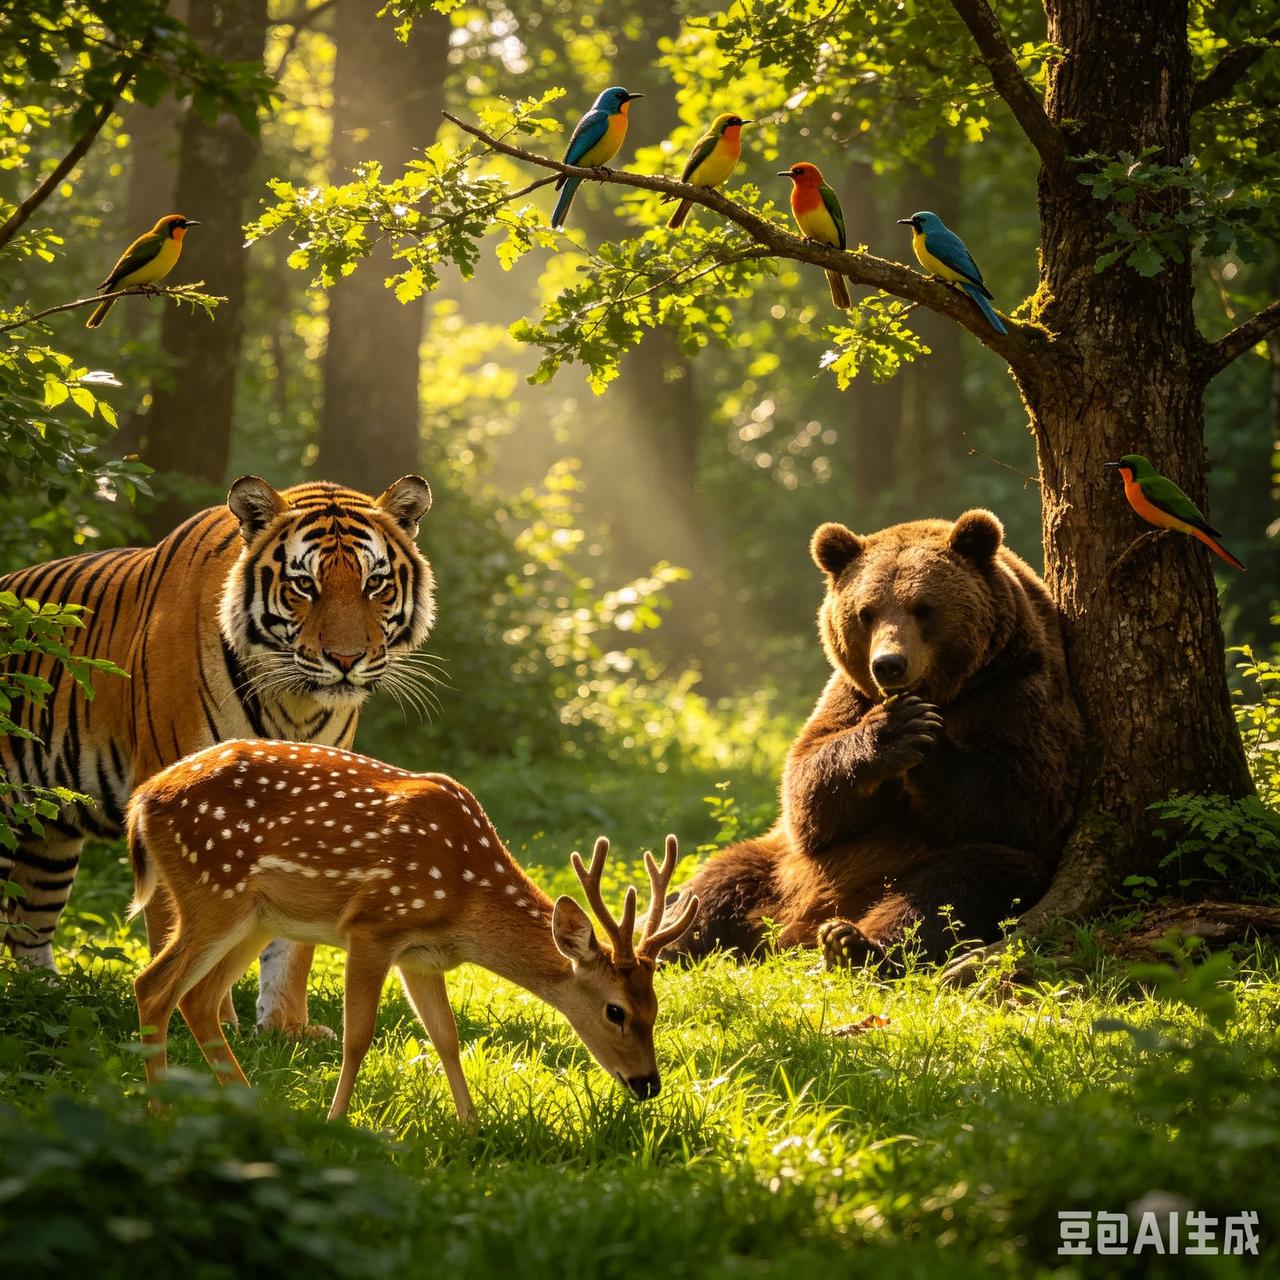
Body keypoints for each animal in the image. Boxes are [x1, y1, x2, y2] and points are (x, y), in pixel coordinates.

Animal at [0, 473, 436, 1034]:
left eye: (374, 584)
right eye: (304, 585)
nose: (346, 659)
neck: (292, 701)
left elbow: (293, 943)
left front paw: (287, 1027)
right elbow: (184, 930)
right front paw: (210, 1021)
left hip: (48, 835)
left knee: (27, 927)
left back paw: (49, 1001)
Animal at [125, 739, 697, 1121]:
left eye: (655, 1008)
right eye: (615, 1011)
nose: (649, 1084)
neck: (464, 898)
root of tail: (142, 801)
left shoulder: (421, 956)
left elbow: (446, 1036)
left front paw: (472, 1126)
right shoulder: (374, 925)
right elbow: (358, 1037)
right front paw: (336, 1122)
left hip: (257, 917)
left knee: (197, 998)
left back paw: (251, 1109)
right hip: (212, 891)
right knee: (153, 985)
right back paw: (162, 1114)